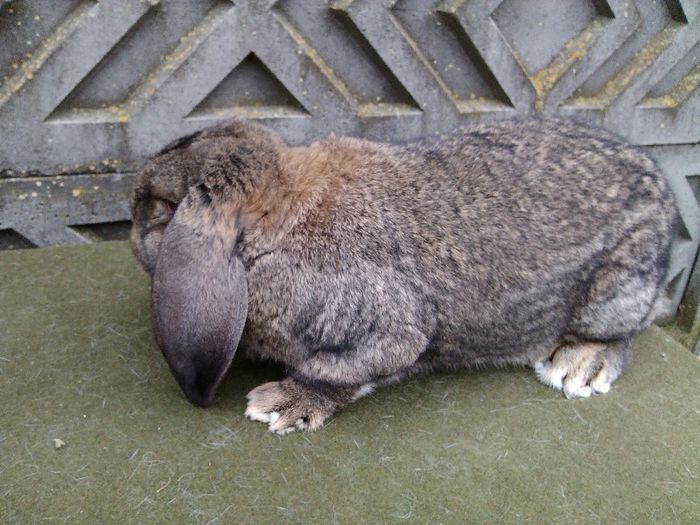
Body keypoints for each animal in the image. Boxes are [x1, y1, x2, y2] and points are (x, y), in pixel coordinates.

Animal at [130, 118, 680, 434]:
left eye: (160, 208)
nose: (131, 221)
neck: (277, 217)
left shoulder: (386, 332)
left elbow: (339, 371)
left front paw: (280, 405)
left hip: (615, 292)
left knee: (620, 333)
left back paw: (578, 367)